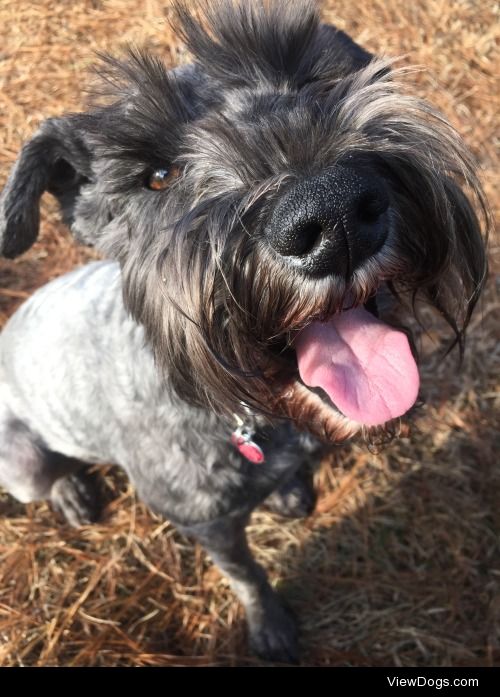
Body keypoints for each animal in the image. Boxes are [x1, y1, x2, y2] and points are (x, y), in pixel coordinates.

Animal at [0, 0, 488, 664]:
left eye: (309, 80)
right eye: (157, 176)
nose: (333, 213)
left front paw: (289, 493)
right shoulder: (207, 523)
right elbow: (247, 575)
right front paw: (271, 627)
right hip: (22, 460)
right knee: (46, 476)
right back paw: (72, 493)